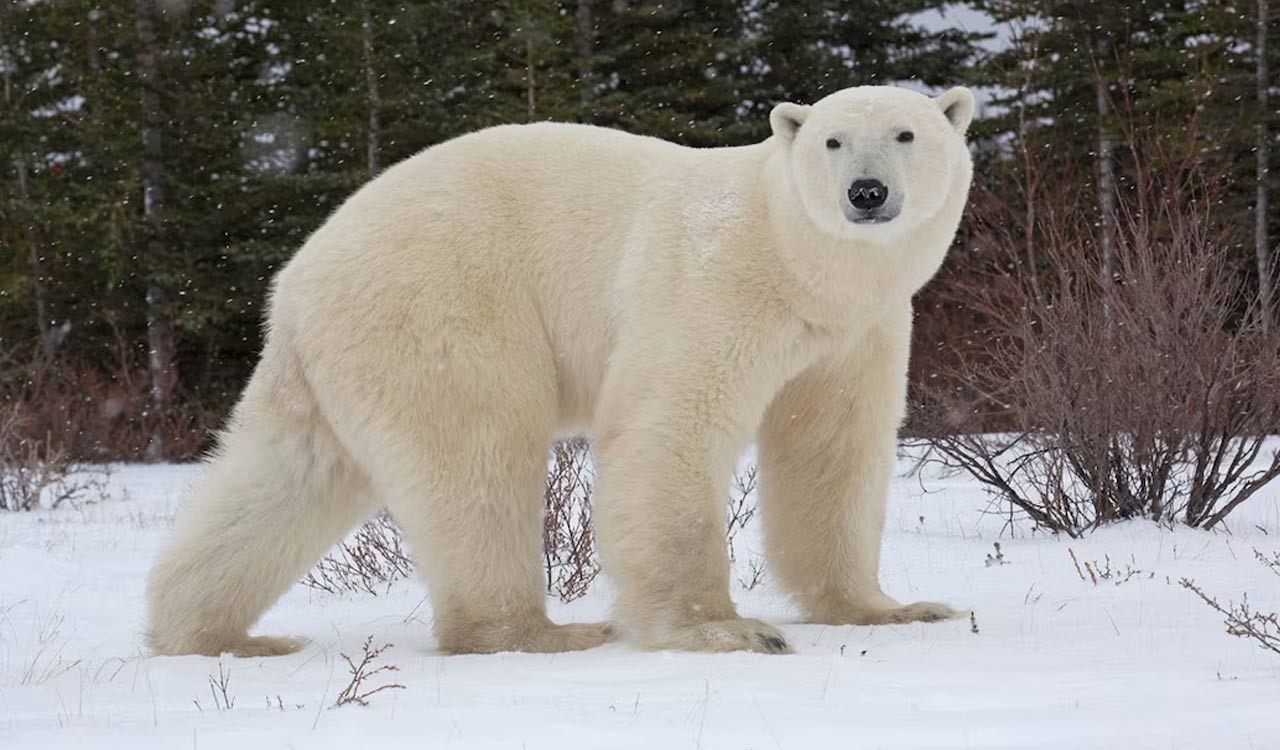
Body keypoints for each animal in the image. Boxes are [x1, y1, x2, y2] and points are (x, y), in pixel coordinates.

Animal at [145, 84, 975, 657]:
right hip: (443, 307)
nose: (867, 192)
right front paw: (728, 630)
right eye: (832, 141)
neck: (796, 263)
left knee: (282, 478)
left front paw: (894, 608)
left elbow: (832, 448)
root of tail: (293, 282)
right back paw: (539, 632)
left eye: (906, 133)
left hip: (338, 360)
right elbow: (669, 425)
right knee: (479, 458)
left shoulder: (855, 332)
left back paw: (213, 635)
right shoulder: (712, 285)